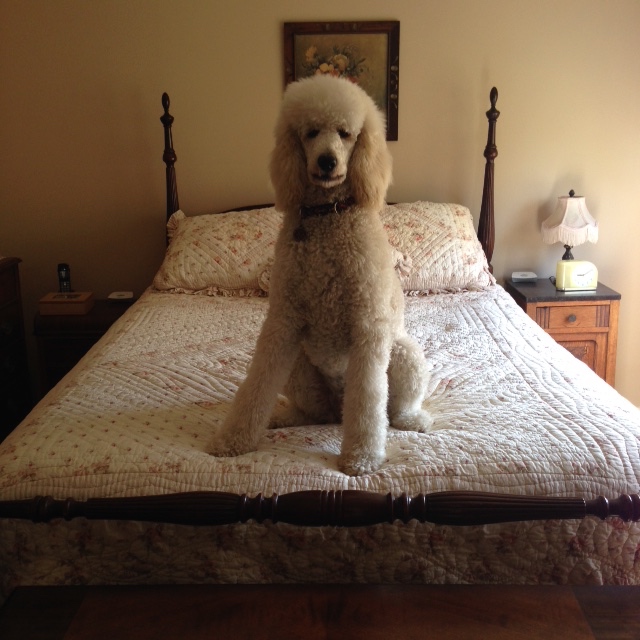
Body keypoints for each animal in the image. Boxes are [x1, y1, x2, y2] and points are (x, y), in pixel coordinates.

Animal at [210, 74, 433, 475]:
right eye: (310, 132)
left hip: (403, 353)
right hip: (299, 365)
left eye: (346, 134)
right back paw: (286, 417)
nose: (327, 161)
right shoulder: (281, 323)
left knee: (391, 409)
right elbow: (257, 384)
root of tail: (336, 406)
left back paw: (412, 420)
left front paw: (361, 457)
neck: (328, 215)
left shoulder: (368, 329)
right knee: (314, 413)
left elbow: (368, 402)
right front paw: (233, 439)